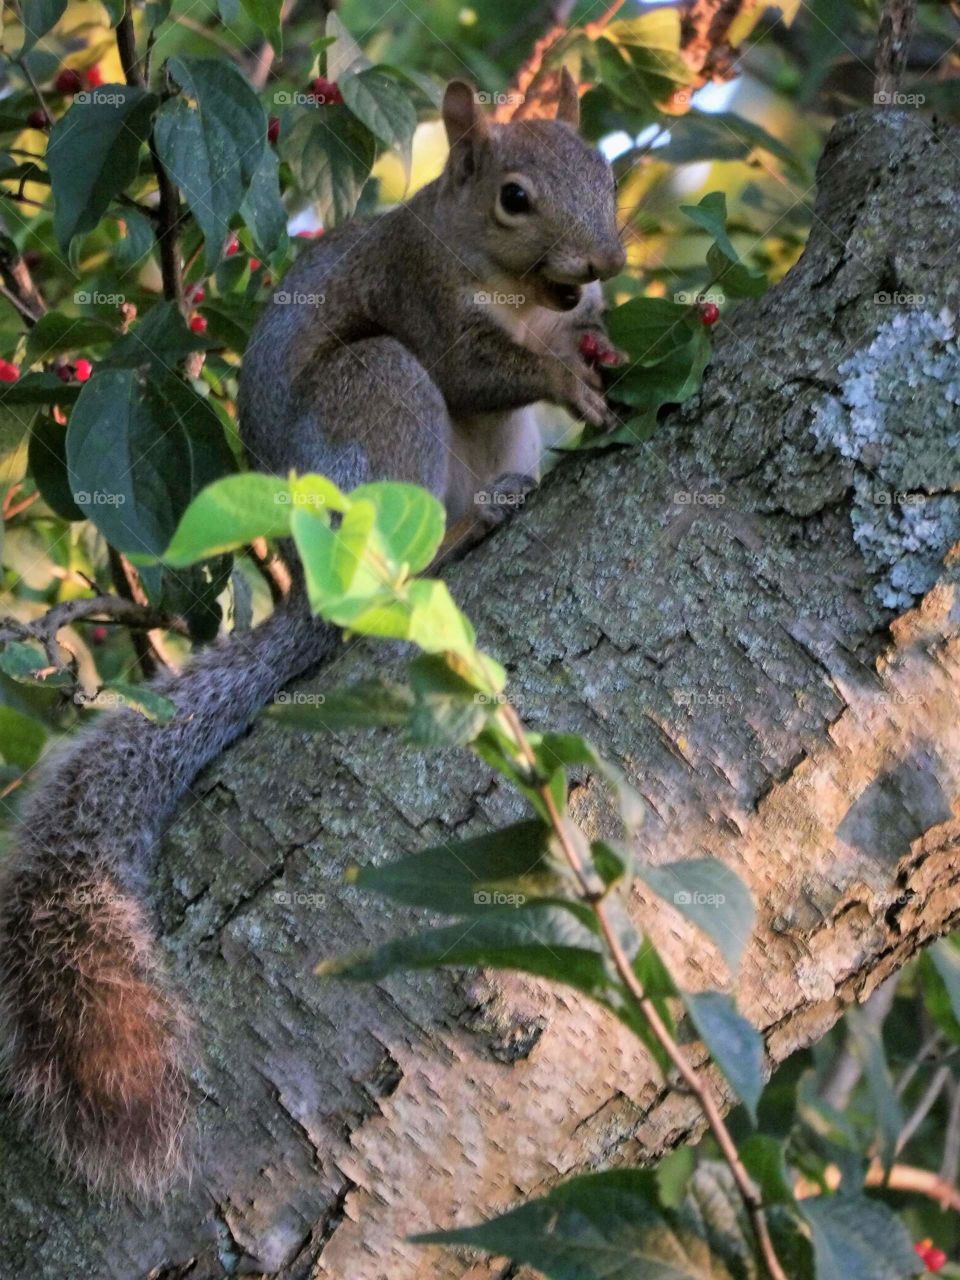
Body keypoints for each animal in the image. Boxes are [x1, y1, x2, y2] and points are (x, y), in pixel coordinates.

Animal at [0, 71, 625, 1198]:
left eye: (606, 174)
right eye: (514, 196)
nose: (604, 264)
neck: (513, 287)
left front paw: (607, 340)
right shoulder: (423, 303)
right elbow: (481, 369)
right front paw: (565, 376)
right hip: (379, 402)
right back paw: (462, 535)